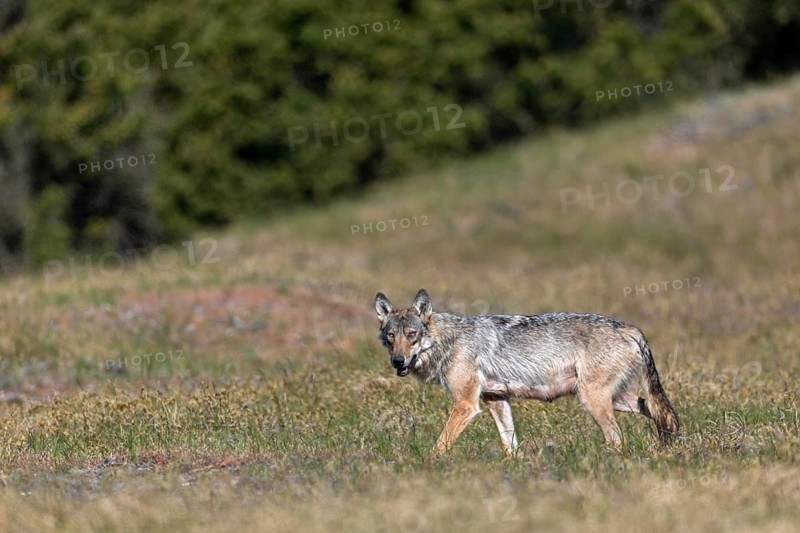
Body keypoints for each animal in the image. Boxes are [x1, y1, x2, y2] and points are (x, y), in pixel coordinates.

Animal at [374, 289, 680, 456]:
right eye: (391, 336)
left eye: (412, 335)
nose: (398, 361)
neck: (449, 341)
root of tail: (632, 329)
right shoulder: (496, 400)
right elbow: (511, 446)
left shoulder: (466, 405)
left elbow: (440, 445)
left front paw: (427, 465)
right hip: (610, 398)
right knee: (659, 412)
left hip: (593, 400)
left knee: (618, 438)